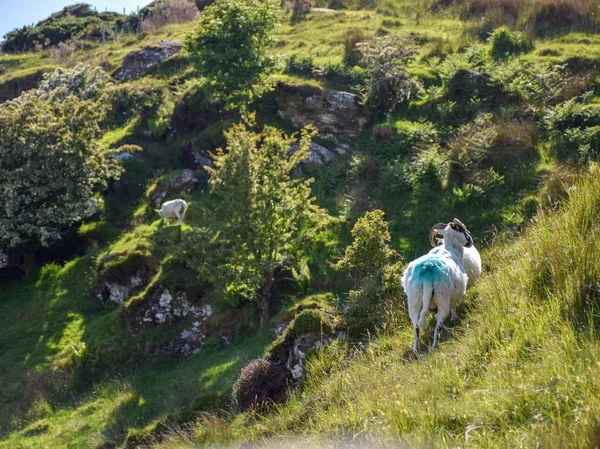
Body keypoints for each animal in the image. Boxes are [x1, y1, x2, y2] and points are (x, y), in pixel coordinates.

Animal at [404, 219, 474, 352]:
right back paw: (434, 347)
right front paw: (454, 318)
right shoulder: (456, 294)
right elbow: (454, 307)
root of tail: (427, 273)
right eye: (461, 228)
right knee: (438, 327)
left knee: (416, 328)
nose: (470, 240)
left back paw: (415, 350)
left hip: (414, 303)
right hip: (442, 301)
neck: (452, 250)